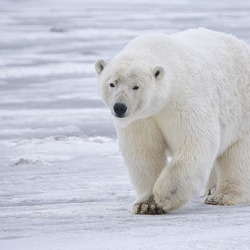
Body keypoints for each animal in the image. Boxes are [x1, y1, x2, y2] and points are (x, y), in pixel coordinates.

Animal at [94, 28, 250, 214]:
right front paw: (146, 204)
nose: (119, 107)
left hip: (241, 109)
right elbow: (144, 152)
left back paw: (223, 196)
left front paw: (165, 196)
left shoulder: (182, 101)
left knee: (238, 154)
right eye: (112, 83)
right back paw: (211, 189)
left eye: (136, 86)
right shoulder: (141, 119)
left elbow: (194, 142)